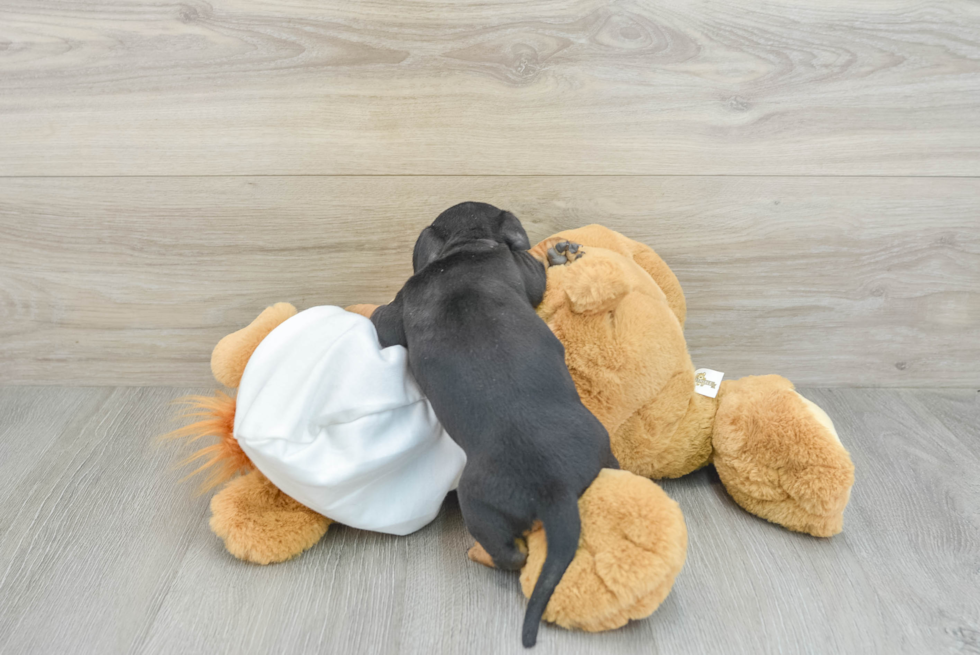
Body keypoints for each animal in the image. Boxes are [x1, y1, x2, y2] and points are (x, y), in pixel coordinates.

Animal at [372, 202, 616, 648]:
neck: (465, 248)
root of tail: (554, 488)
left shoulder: (397, 313)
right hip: (587, 456)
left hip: (482, 502)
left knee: (512, 555)